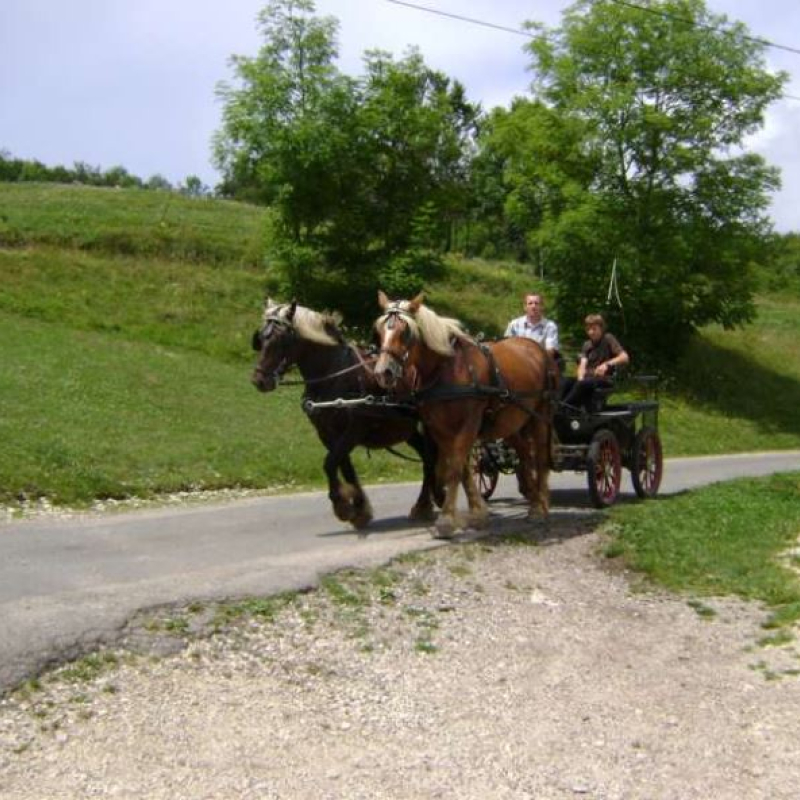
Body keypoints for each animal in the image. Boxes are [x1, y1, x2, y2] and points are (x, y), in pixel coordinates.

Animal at [252, 296, 440, 528]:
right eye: (260, 338)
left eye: (282, 340)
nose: (259, 380)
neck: (335, 375)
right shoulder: (327, 433)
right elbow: (344, 466)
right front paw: (359, 507)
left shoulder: (354, 429)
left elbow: (330, 463)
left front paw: (341, 505)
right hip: (407, 429)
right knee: (427, 457)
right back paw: (425, 503)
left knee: (432, 456)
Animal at [374, 290, 552, 540]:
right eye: (380, 330)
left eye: (406, 332)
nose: (384, 372)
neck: (445, 369)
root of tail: (536, 347)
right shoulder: (439, 428)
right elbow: (460, 466)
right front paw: (477, 513)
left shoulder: (468, 424)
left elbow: (455, 467)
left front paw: (447, 519)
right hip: (511, 421)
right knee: (525, 454)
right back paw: (534, 501)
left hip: (539, 415)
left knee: (541, 457)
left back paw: (542, 504)